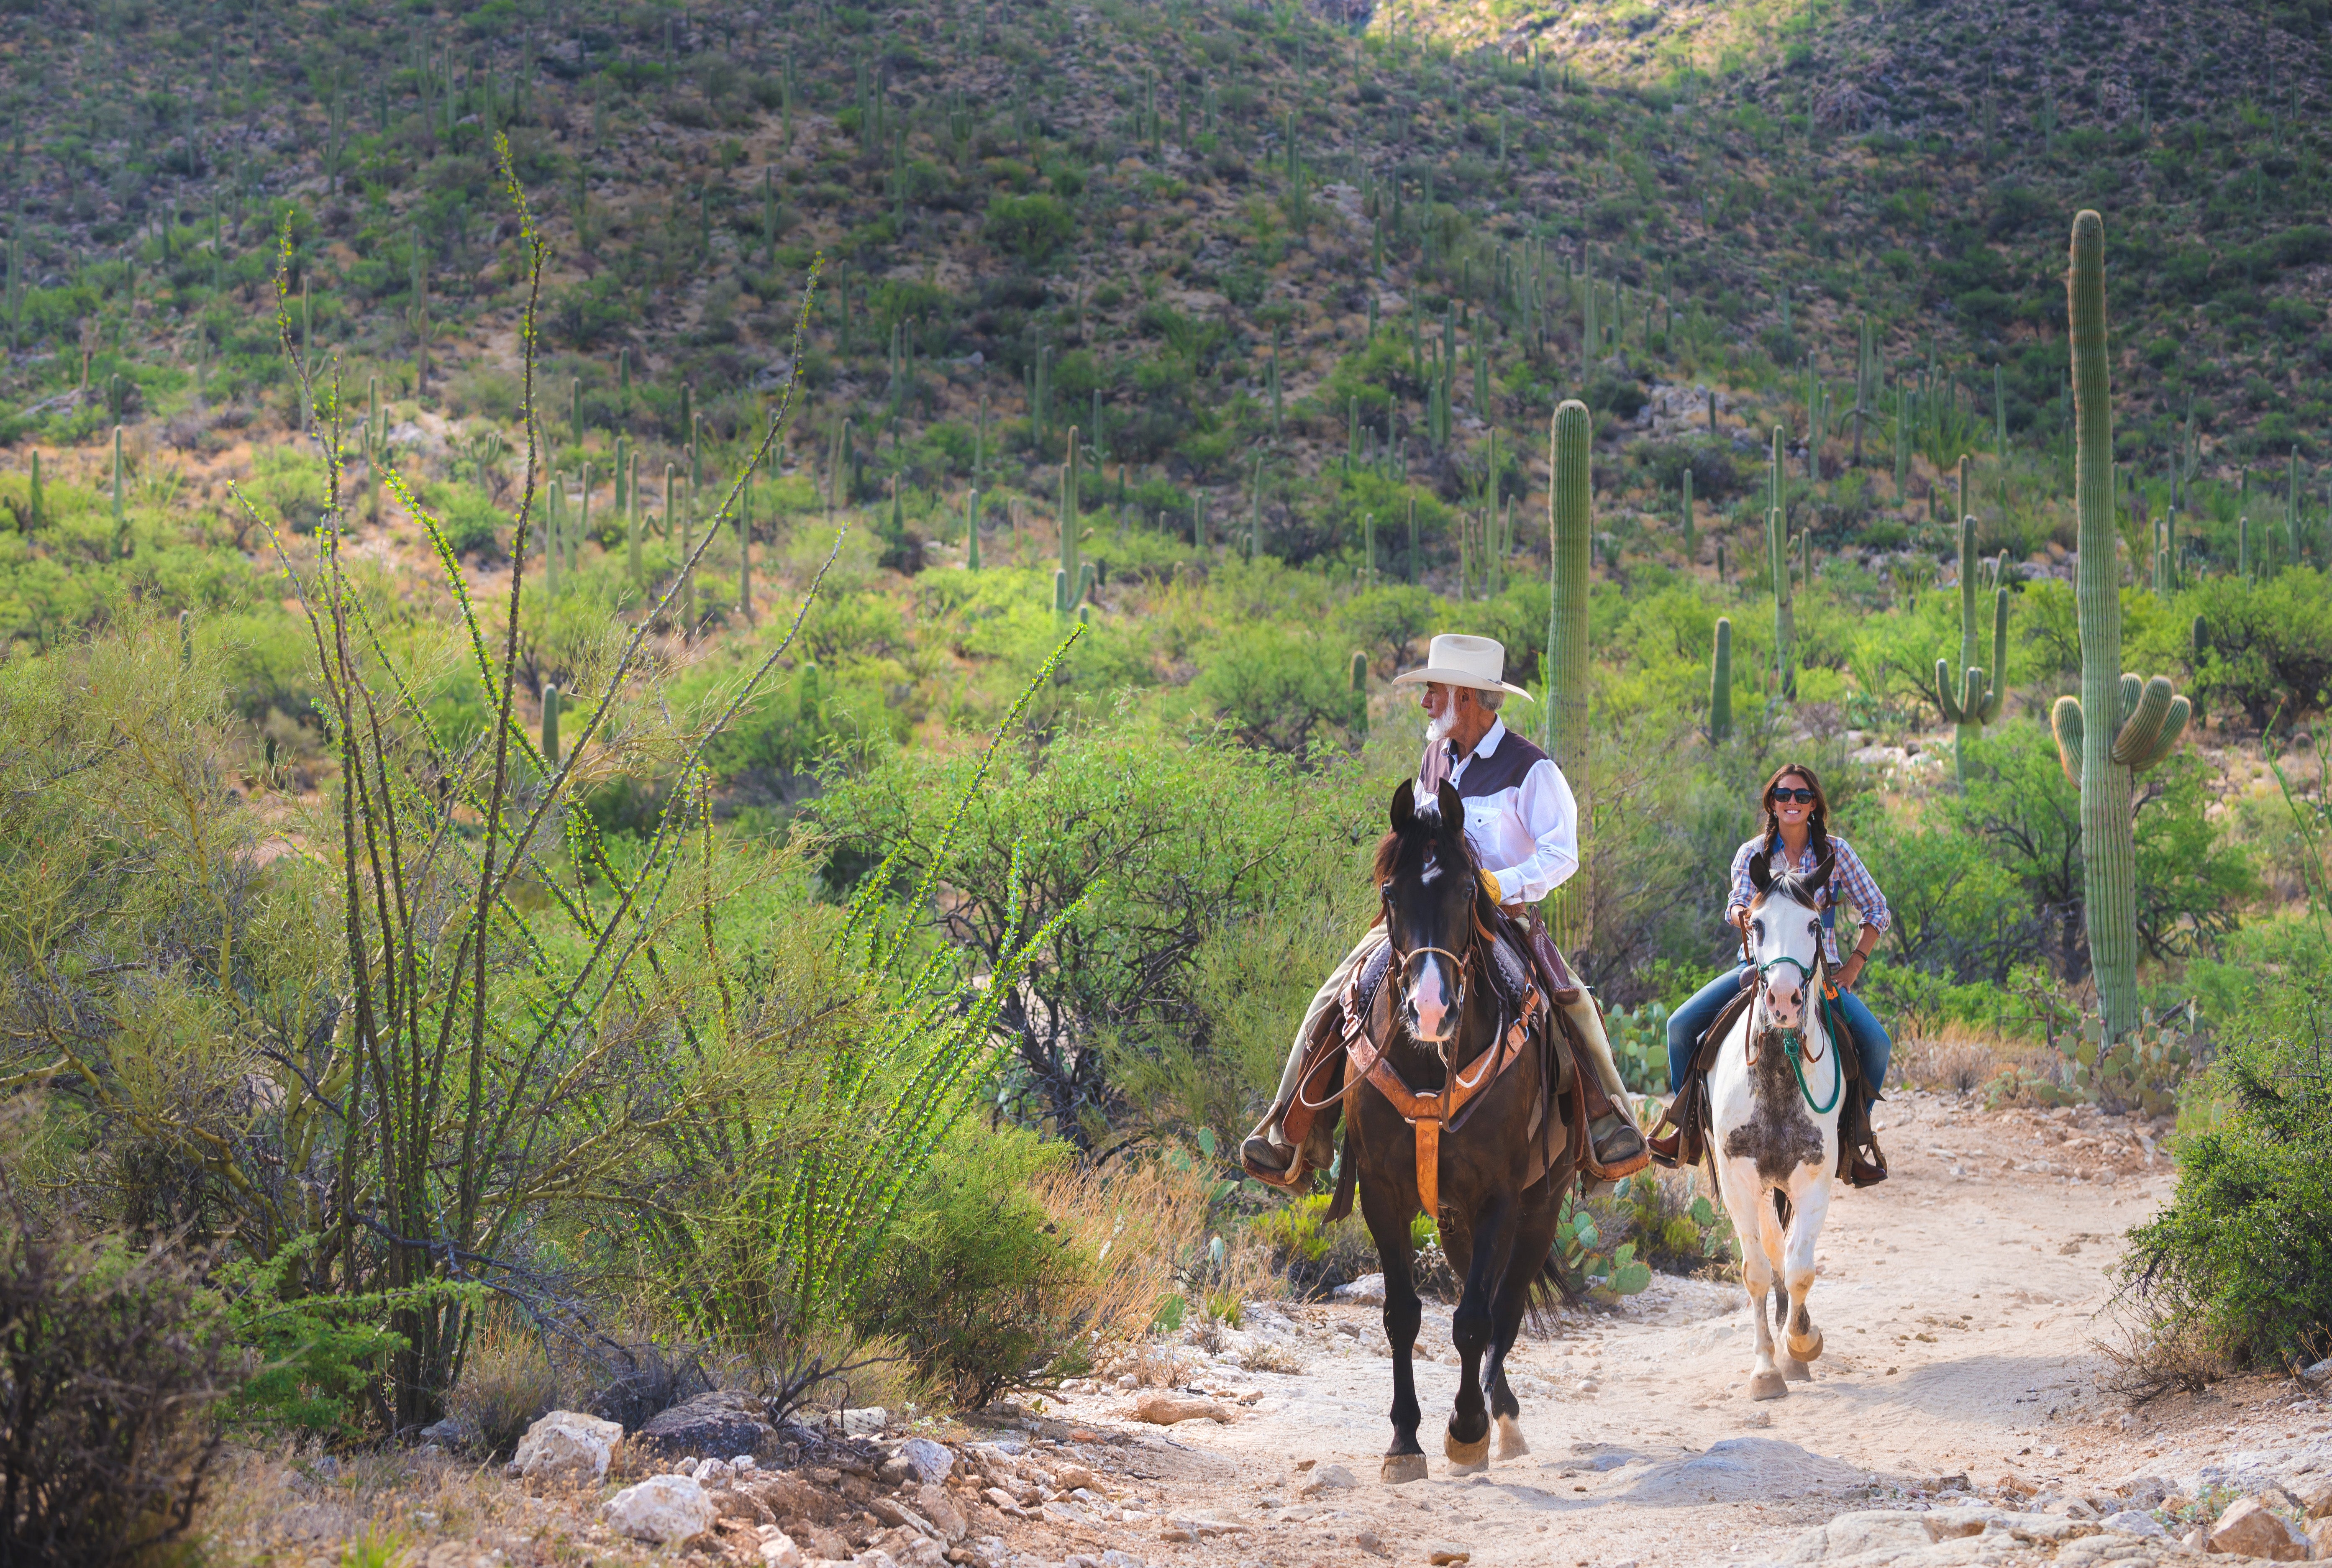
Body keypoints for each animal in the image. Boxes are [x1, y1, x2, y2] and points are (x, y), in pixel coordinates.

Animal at [1343, 779, 1576, 1484]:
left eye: (1469, 889)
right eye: (1391, 892)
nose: (1429, 1009)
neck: (1429, 1067)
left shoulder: (1499, 1195)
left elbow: (1475, 1318)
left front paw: (1466, 1430)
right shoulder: (1381, 1192)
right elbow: (1401, 1315)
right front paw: (1404, 1442)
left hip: (1539, 1207)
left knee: (1505, 1304)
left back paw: (1502, 1419)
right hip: (1452, 1218)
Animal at [1707, 849, 1847, 1400]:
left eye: (1814, 923)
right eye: (1757, 923)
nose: (1784, 1001)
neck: (1780, 1071)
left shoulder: (1814, 1179)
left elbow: (1801, 1267)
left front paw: (1802, 1345)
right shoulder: (1739, 1182)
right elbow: (1758, 1272)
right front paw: (1767, 1370)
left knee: (1787, 1252)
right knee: (1770, 1248)